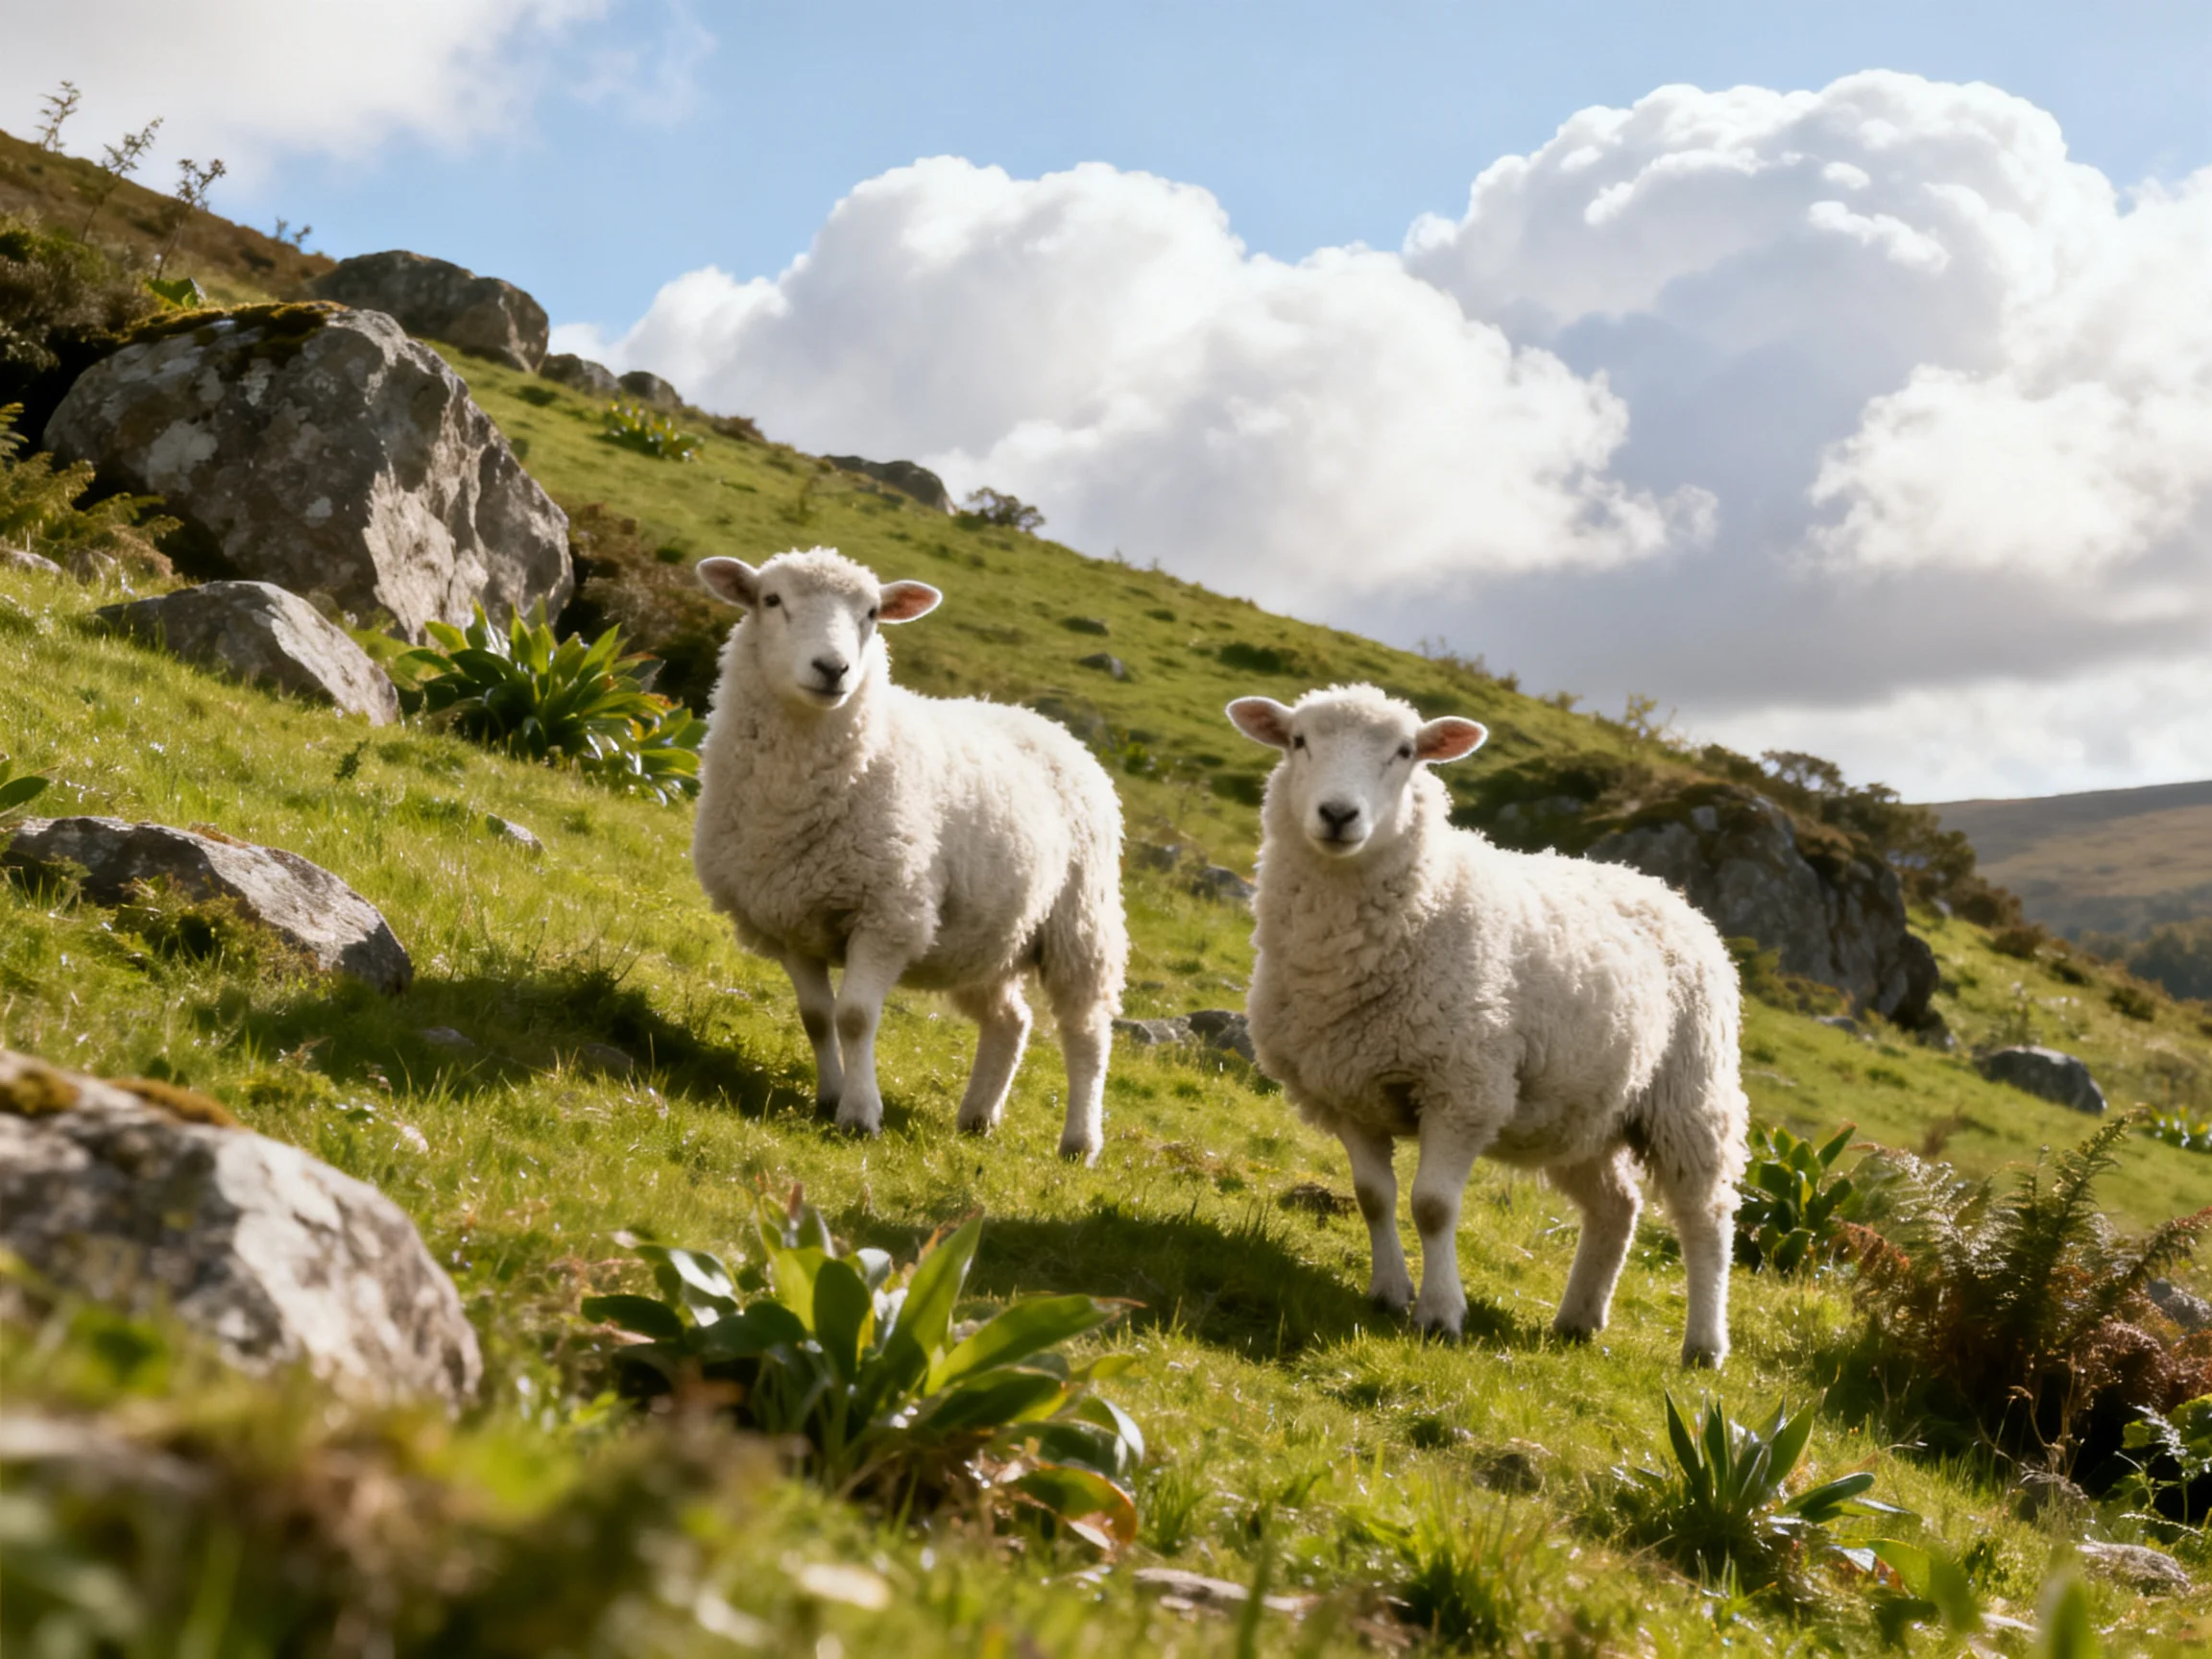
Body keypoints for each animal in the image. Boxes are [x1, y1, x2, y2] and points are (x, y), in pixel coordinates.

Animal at [692, 547, 1128, 1162]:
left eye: (873, 613)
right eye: (771, 600)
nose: (833, 668)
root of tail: (1047, 723)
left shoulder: (888, 913)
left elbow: (854, 1017)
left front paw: (859, 1113)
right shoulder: (788, 920)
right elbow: (816, 1017)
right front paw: (828, 1096)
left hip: (1081, 921)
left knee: (1086, 1031)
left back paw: (1080, 1141)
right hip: (987, 936)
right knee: (1011, 1020)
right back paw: (978, 1116)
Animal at [1226, 684, 1748, 1366]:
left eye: (1405, 752)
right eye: (1298, 741)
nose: (1338, 814)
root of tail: (1661, 889)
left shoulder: (1462, 1086)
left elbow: (1432, 1206)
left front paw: (1440, 1314)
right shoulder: (1348, 1091)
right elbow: (1373, 1197)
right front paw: (1388, 1292)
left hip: (1689, 1096)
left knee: (1705, 1214)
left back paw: (1704, 1345)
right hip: (1581, 1110)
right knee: (1617, 1205)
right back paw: (1579, 1319)